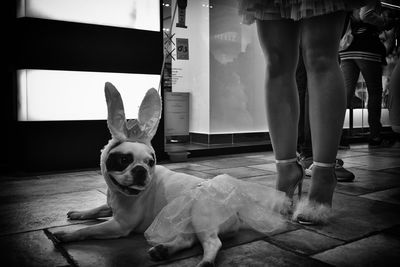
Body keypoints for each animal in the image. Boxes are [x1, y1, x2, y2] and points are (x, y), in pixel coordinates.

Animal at [54, 82, 288, 266]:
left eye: (150, 162)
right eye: (124, 160)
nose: (141, 170)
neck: (120, 194)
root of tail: (235, 206)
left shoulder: (119, 225)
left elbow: (88, 231)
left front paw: (66, 235)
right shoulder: (110, 204)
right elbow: (95, 209)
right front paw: (78, 213)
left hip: (199, 215)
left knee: (213, 242)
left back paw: (205, 262)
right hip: (185, 223)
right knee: (187, 240)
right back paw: (163, 250)